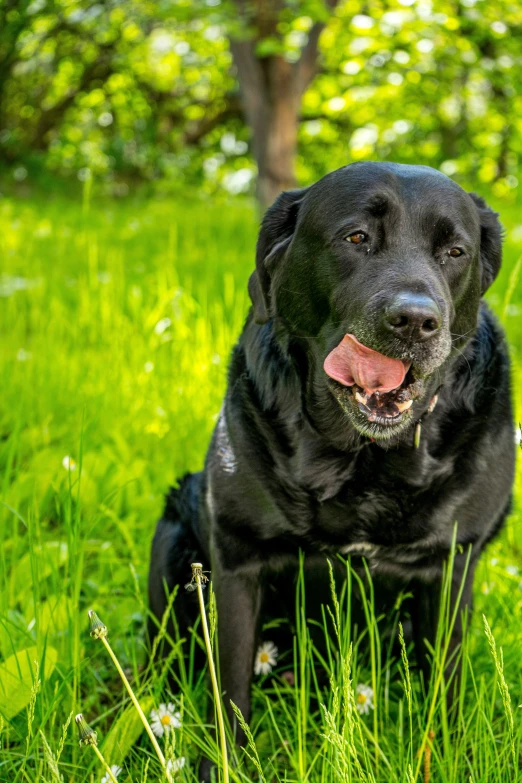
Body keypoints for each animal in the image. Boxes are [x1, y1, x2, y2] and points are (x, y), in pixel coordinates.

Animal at [146, 164, 512, 772]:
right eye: (356, 237)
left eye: (454, 251)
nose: (415, 320)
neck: (360, 457)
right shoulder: (237, 558)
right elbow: (231, 688)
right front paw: (224, 768)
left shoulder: (452, 567)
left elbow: (445, 691)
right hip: (172, 540)